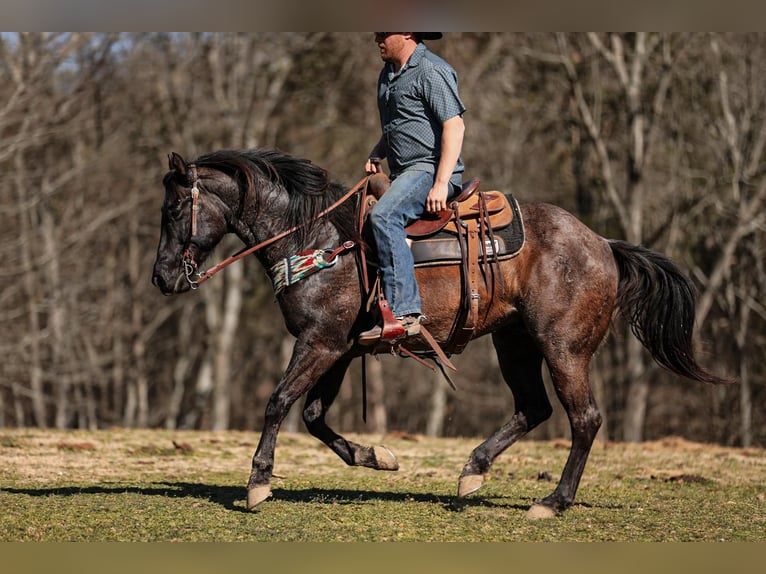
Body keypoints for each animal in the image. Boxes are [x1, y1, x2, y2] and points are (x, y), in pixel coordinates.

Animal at [152, 148, 732, 519]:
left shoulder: (319, 343)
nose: (161, 277)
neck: (317, 239)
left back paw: (551, 503)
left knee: (583, 418)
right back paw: (473, 470)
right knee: (534, 408)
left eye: (175, 208)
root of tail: (604, 245)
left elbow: (278, 403)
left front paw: (257, 483)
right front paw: (376, 457)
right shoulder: (338, 348)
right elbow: (314, 416)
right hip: (514, 343)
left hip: (563, 348)